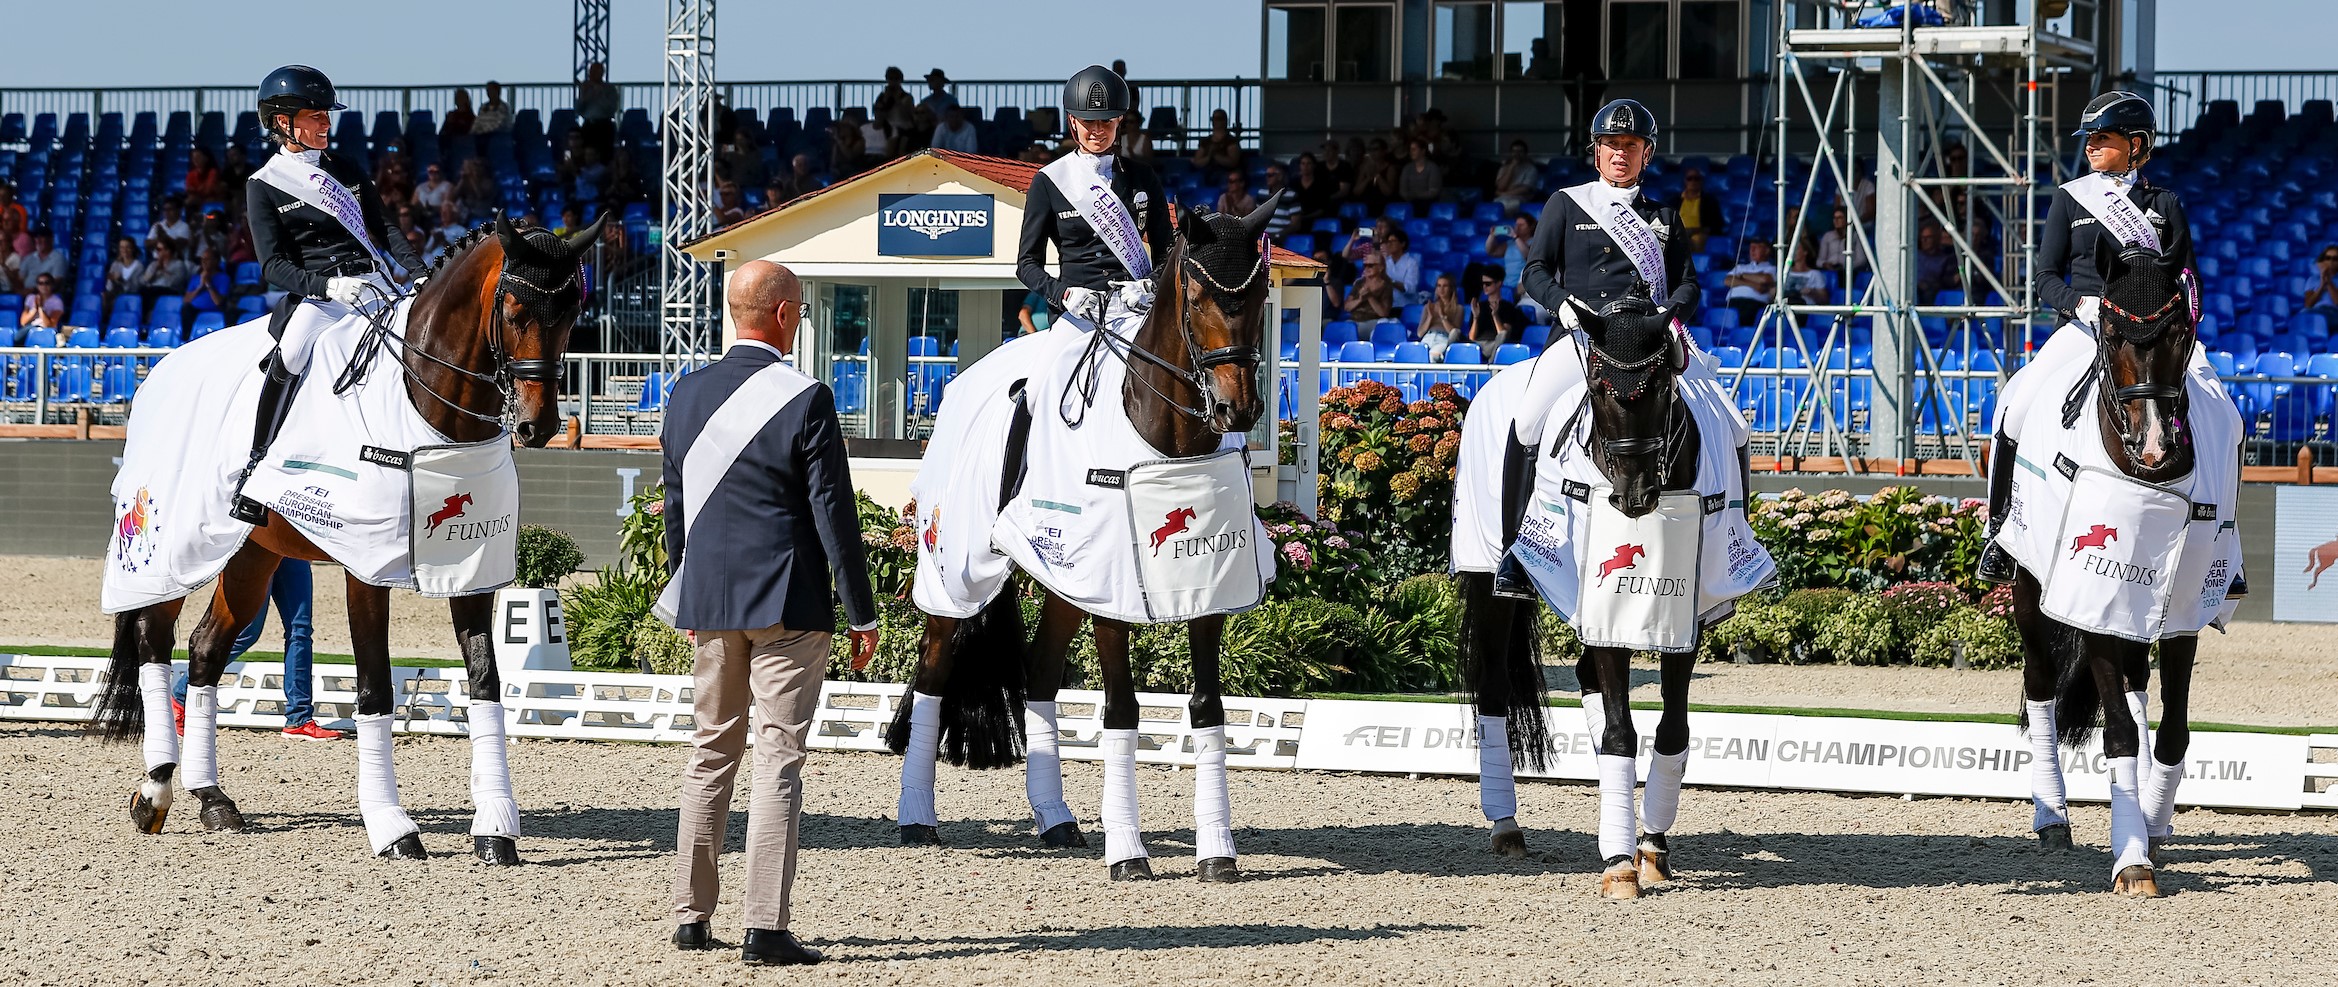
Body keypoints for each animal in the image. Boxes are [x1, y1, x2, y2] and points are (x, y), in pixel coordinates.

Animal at [92, 216, 607, 865]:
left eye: (571, 313)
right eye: (513, 311)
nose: (537, 427)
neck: (425, 413)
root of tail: (159, 371)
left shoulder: (472, 565)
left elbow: (487, 682)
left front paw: (495, 828)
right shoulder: (366, 568)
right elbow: (374, 687)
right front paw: (392, 827)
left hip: (252, 553)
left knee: (206, 648)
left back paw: (213, 800)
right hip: (173, 552)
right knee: (153, 642)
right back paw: (155, 790)